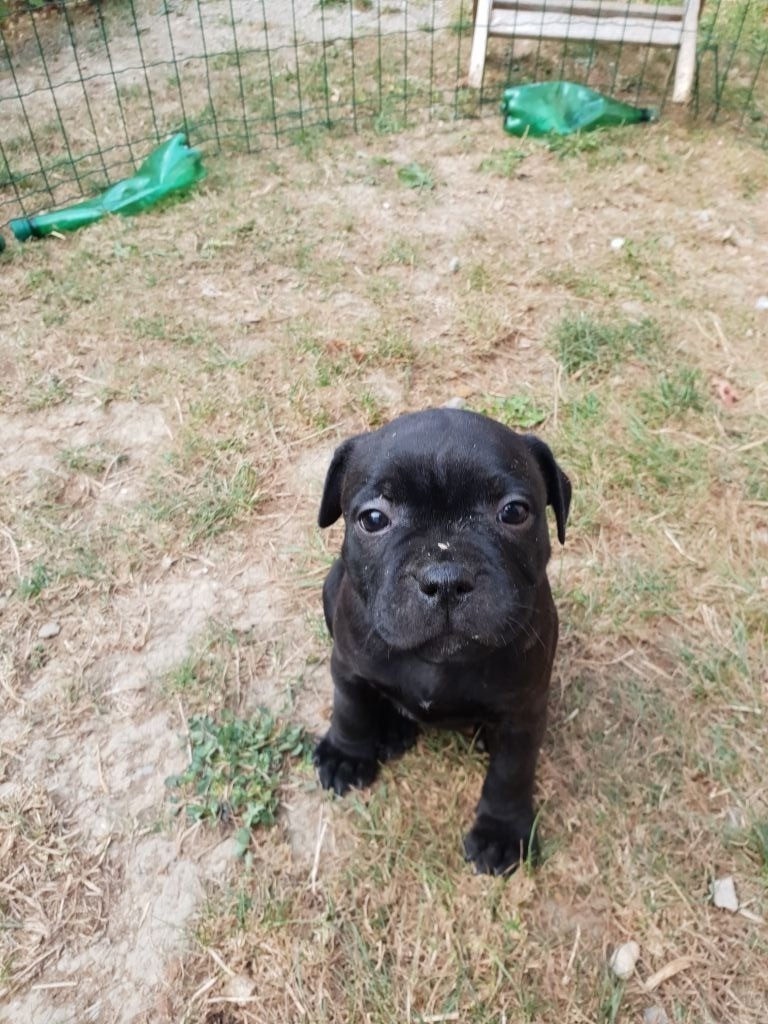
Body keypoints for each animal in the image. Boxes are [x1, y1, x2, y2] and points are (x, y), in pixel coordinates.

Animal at [313, 408, 571, 875]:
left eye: (514, 512)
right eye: (373, 519)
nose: (445, 577)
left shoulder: (524, 711)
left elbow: (511, 772)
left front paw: (500, 833)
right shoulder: (349, 667)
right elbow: (350, 710)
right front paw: (346, 754)